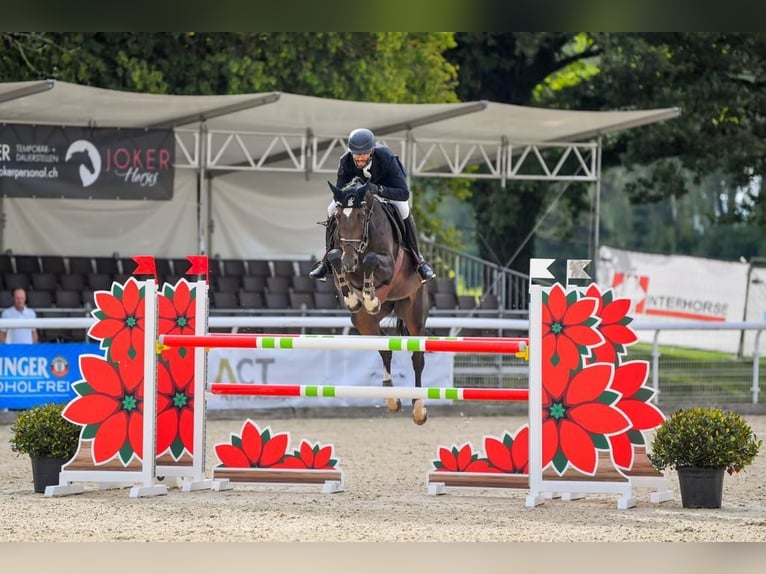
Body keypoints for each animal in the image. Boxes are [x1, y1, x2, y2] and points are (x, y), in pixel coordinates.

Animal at [324, 180, 432, 428]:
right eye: (339, 218)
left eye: (361, 215)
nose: (349, 261)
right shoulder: (342, 257)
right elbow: (334, 255)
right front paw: (354, 297)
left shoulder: (388, 264)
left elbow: (371, 259)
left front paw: (370, 297)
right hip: (363, 321)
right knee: (384, 348)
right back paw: (391, 399)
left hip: (414, 313)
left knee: (417, 357)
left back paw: (418, 409)